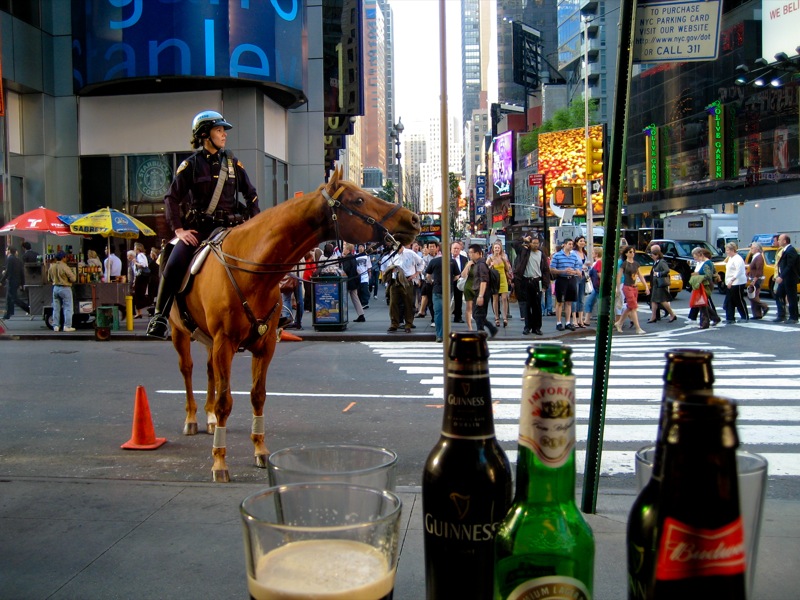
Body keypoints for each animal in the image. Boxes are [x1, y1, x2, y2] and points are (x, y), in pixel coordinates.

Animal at [169, 168, 418, 482]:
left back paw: (210, 417)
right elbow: (227, 402)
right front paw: (219, 461)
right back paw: (192, 418)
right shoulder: (225, 342)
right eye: (359, 200)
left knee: (209, 371)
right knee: (187, 370)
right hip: (180, 333)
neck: (253, 271)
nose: (413, 219)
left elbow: (258, 396)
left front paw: (259, 449)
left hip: (208, 339)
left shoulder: (264, 345)